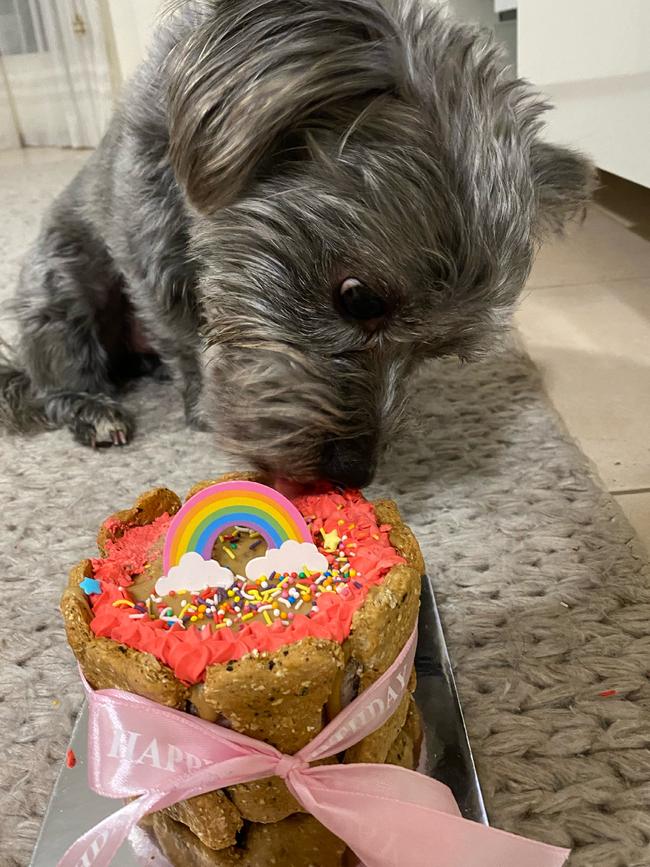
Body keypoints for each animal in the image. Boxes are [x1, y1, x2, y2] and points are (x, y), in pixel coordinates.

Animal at [1, 0, 592, 488]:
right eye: (359, 299)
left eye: (434, 353)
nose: (354, 475)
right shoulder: (148, 252)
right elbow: (182, 335)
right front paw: (202, 402)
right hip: (61, 282)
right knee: (56, 375)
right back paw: (92, 408)